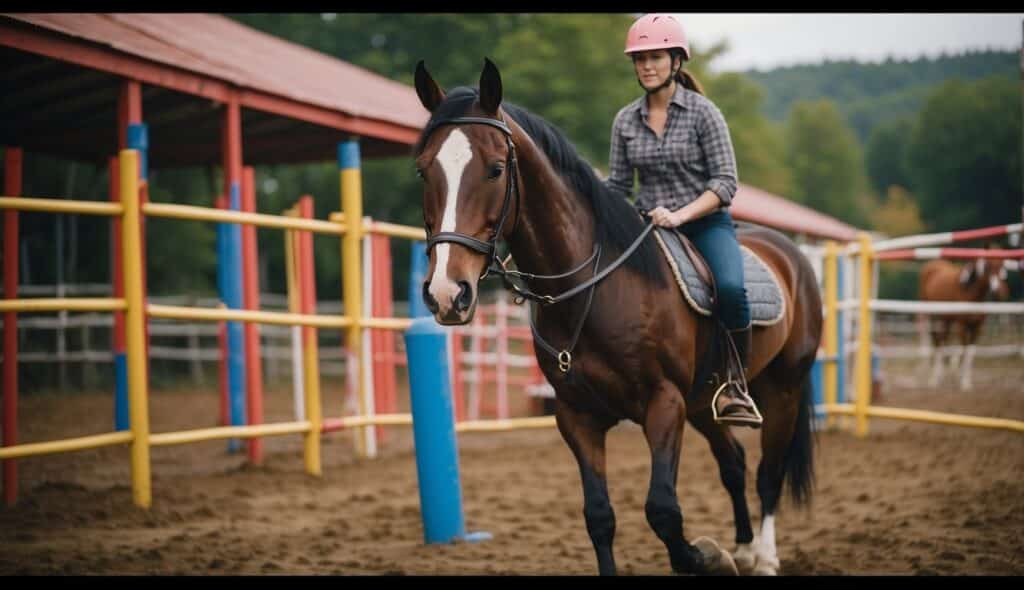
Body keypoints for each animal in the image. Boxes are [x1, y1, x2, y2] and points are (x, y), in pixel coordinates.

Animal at [411, 58, 819, 577]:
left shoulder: (663, 403)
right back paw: (745, 549)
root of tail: (791, 253)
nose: (447, 292)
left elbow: (663, 511)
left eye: (496, 169)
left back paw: (764, 557)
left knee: (769, 472)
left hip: (782, 389)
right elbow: (600, 517)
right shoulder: (577, 416)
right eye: (423, 170)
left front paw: (706, 556)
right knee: (734, 463)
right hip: (703, 405)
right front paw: (718, 554)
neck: (594, 289)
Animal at [921, 255, 1007, 389]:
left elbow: (969, 352)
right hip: (932, 317)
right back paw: (934, 378)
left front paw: (965, 380)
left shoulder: (977, 327)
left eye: (1002, 266)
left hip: (946, 320)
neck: (971, 293)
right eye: (987, 267)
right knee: (938, 342)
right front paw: (959, 375)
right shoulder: (962, 325)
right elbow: (963, 348)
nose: (997, 291)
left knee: (943, 340)